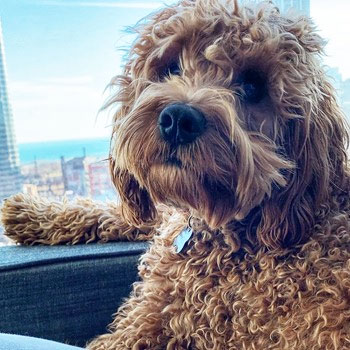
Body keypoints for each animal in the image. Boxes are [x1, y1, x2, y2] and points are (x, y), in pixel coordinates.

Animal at [2, 0, 350, 350]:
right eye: (171, 67)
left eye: (253, 87)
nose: (178, 120)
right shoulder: (171, 223)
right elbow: (126, 215)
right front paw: (30, 212)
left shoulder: (155, 322)